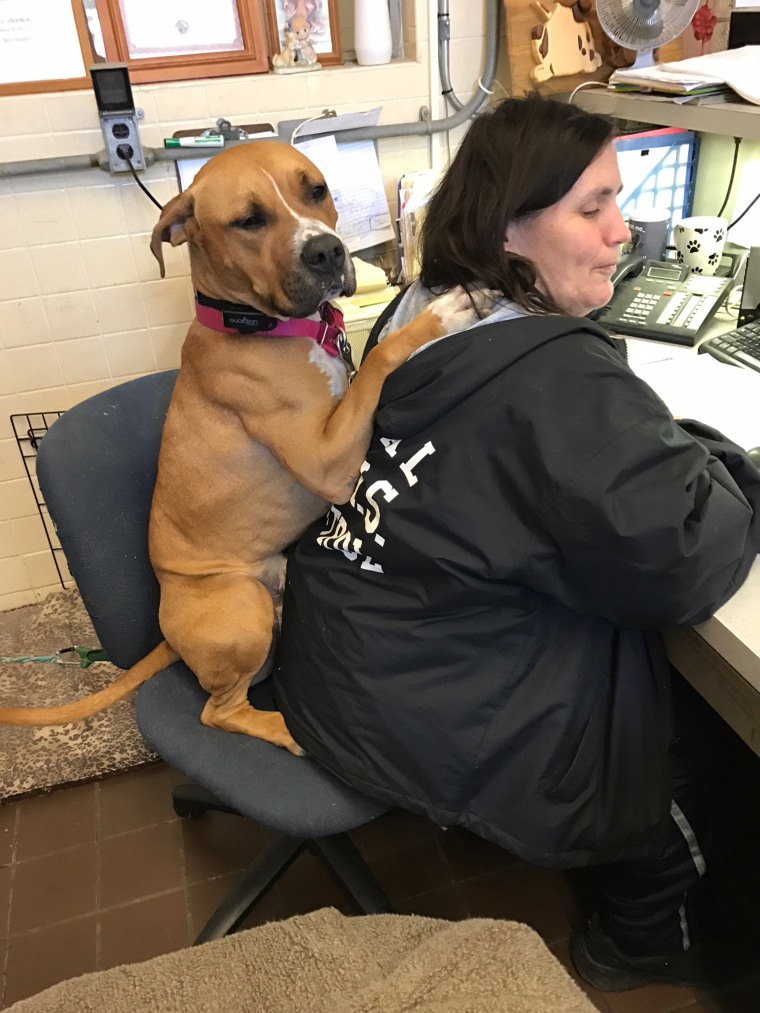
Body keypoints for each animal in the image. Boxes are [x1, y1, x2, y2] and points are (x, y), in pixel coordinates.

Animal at [0, 140, 484, 753]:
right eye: (248, 221)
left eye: (316, 190)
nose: (327, 251)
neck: (258, 324)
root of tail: (167, 635)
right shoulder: (328, 463)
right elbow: (380, 358)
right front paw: (442, 313)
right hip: (244, 607)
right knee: (218, 711)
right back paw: (284, 728)